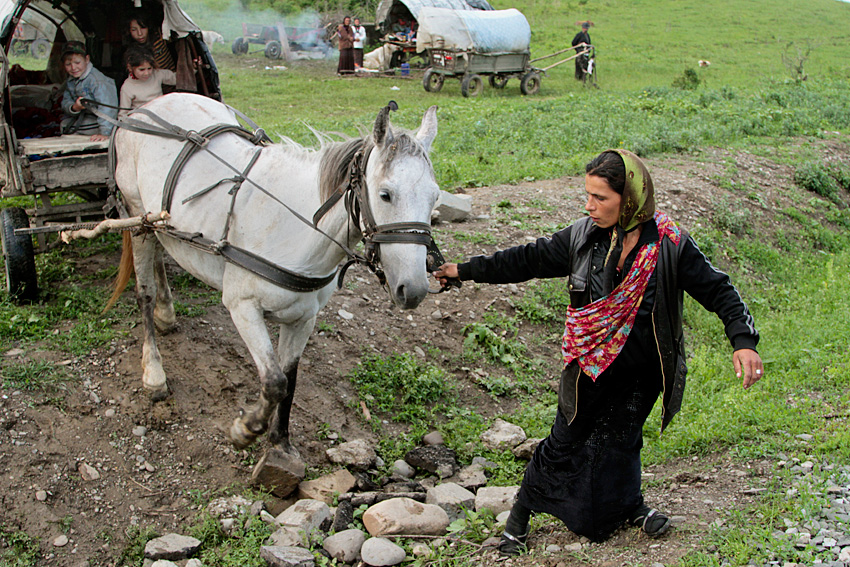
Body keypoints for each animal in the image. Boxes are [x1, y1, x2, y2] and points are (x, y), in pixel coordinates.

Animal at [111, 93, 438, 458]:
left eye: (435, 196)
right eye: (385, 194)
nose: (414, 289)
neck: (294, 229)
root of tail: (146, 106)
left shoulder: (303, 318)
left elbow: (289, 380)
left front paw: (280, 442)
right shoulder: (243, 307)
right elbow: (274, 381)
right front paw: (245, 430)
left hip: (157, 224)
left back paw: (166, 314)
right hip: (136, 216)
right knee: (145, 291)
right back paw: (154, 372)